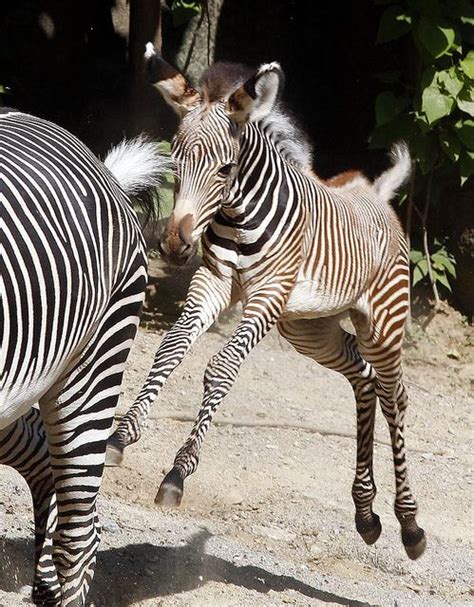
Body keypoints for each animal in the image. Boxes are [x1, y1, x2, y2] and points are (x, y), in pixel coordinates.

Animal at [108, 46, 426, 560]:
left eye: (225, 169)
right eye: (175, 161)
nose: (174, 246)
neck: (238, 217)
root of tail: (375, 194)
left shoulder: (267, 296)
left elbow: (220, 368)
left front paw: (178, 472)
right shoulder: (214, 282)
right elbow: (170, 348)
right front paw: (120, 436)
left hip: (381, 322)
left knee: (395, 394)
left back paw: (410, 524)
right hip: (309, 330)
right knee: (364, 379)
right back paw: (365, 513)